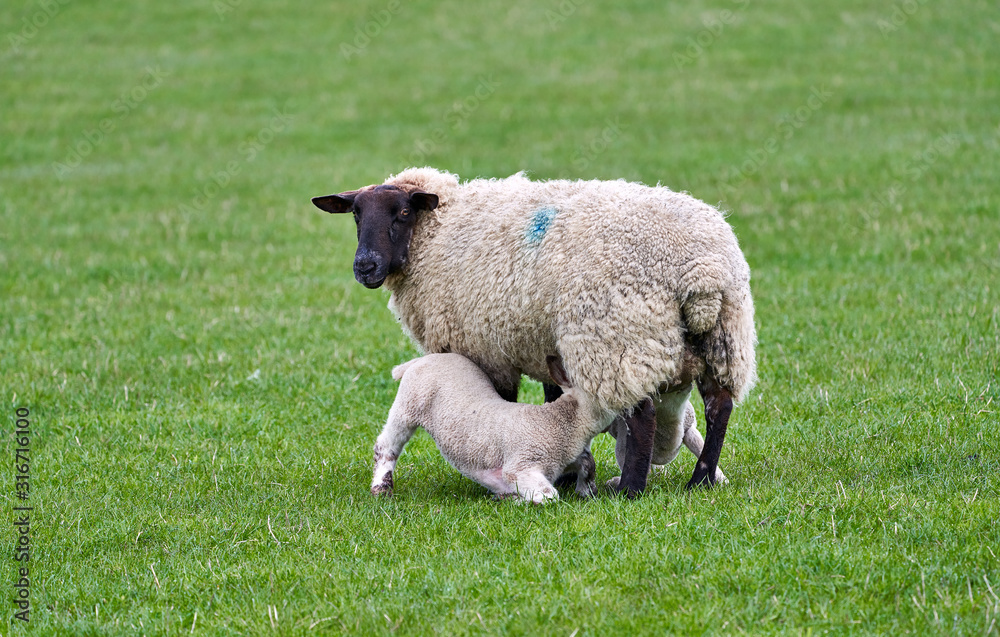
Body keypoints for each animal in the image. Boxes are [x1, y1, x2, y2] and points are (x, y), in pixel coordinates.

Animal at [370, 353, 616, 503]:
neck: (558, 425)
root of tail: (419, 360)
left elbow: (588, 463)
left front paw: (586, 491)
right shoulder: (521, 464)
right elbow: (549, 495)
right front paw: (513, 499)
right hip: (408, 404)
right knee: (387, 445)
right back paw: (381, 486)